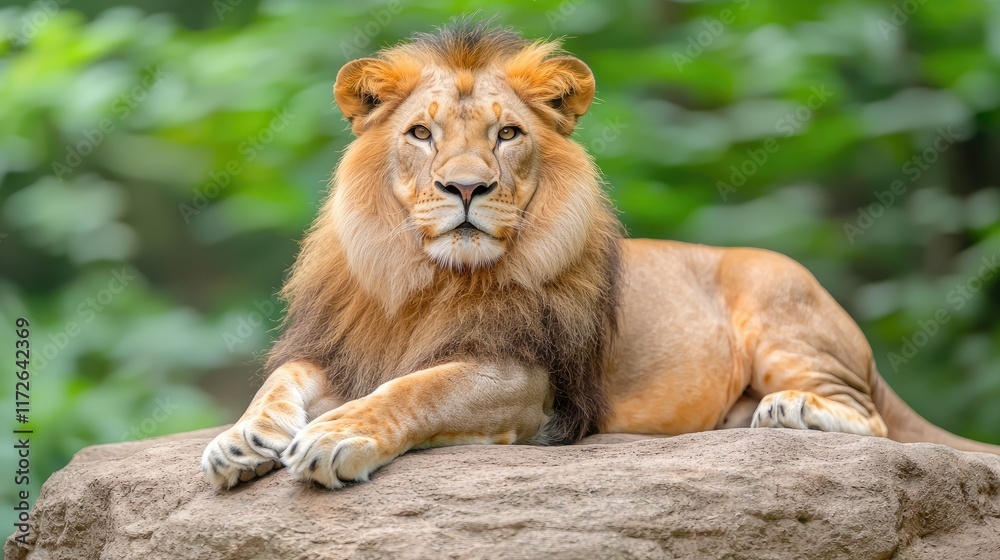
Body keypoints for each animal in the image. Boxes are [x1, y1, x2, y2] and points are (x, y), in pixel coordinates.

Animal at [202, 22, 999, 490]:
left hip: (780, 296)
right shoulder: (347, 345)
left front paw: (339, 435)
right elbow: (284, 381)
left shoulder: (525, 378)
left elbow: (417, 389)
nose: (467, 187)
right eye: (421, 134)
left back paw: (793, 413)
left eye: (508, 135)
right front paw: (241, 440)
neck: (430, 279)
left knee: (870, 419)